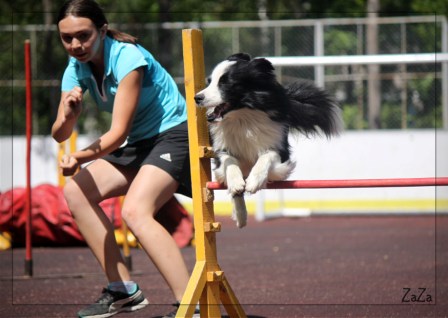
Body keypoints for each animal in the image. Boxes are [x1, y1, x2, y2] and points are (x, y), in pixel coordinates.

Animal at [193, 53, 344, 227]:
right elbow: (228, 161)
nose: (197, 98)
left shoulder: (280, 148)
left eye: (225, 83)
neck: (244, 118)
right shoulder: (221, 148)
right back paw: (240, 215)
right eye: (209, 81)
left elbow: (266, 156)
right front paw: (236, 184)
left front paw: (253, 182)